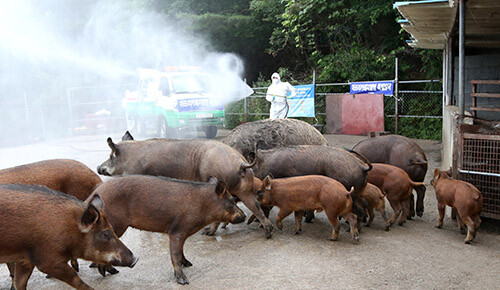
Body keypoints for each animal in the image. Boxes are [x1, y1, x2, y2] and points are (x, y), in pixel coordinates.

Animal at [0, 185, 137, 288]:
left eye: (112, 229)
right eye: (105, 233)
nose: (135, 259)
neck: (69, 228)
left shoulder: (25, 260)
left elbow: (20, 283)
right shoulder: (47, 261)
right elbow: (77, 280)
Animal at [88, 174, 248, 286]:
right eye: (231, 200)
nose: (244, 216)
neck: (204, 205)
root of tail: (94, 193)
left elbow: (181, 250)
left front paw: (189, 264)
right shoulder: (177, 231)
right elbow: (175, 254)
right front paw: (184, 281)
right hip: (115, 225)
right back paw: (112, 272)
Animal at [95, 131, 272, 238]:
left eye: (111, 156)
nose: (98, 167)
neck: (129, 158)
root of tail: (241, 163)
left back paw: (207, 233)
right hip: (245, 189)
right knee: (256, 206)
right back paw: (268, 232)